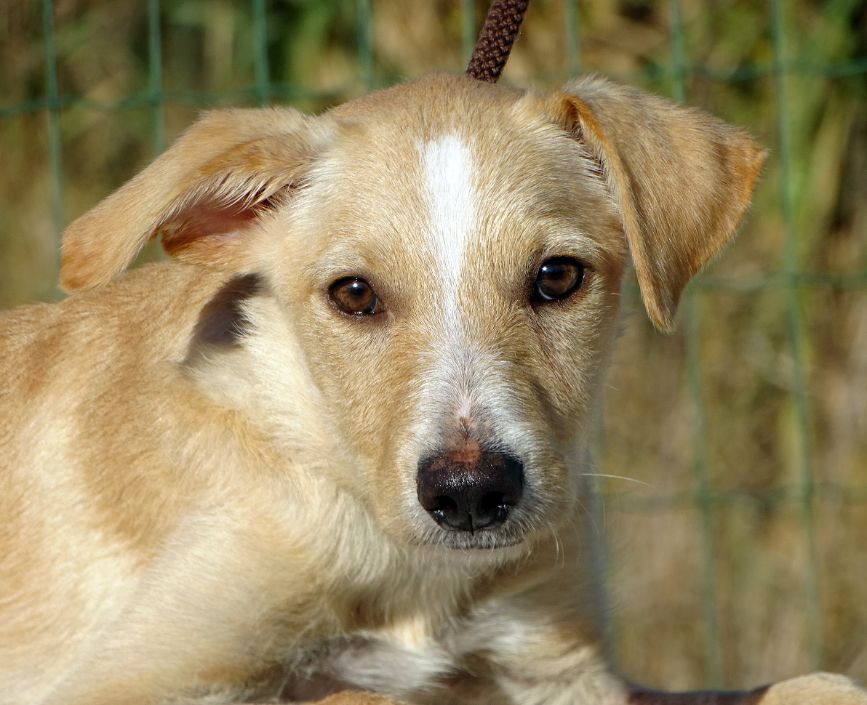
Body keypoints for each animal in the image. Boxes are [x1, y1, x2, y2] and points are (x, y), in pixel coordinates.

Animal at [1, 73, 867, 704]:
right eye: (353, 294)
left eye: (557, 276)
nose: (471, 494)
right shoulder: (130, 676)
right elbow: (351, 692)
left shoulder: (558, 667)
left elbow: (806, 683)